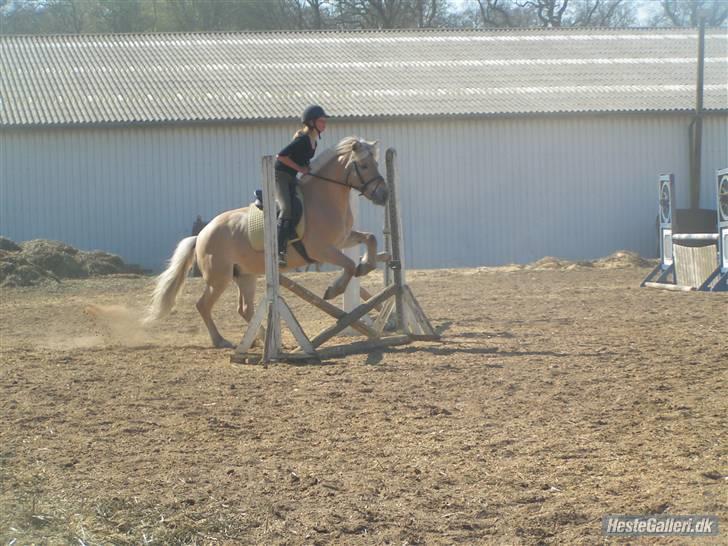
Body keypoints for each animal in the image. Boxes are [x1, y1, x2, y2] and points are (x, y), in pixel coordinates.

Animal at [144, 138, 390, 346]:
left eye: (377, 163)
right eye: (364, 166)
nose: (384, 196)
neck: (324, 198)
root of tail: (202, 233)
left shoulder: (342, 240)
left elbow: (370, 239)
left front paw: (367, 265)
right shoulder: (321, 250)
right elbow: (349, 266)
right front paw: (333, 289)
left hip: (245, 275)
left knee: (244, 308)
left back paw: (261, 338)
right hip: (219, 278)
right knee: (203, 305)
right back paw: (221, 341)